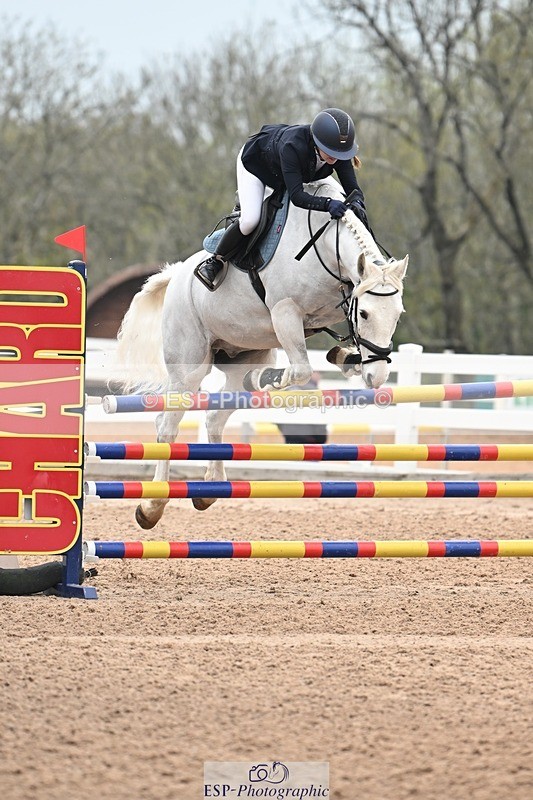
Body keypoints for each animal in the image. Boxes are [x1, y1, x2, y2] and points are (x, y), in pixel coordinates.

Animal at [115, 176, 408, 529]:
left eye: (398, 315)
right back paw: (151, 506)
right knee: (167, 426)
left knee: (214, 417)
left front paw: (345, 357)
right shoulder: (285, 312)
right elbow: (301, 370)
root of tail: (176, 276)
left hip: (241, 357)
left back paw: (210, 488)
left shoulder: (335, 304)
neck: (326, 246)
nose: (377, 377)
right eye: (364, 313)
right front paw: (273, 377)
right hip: (189, 369)